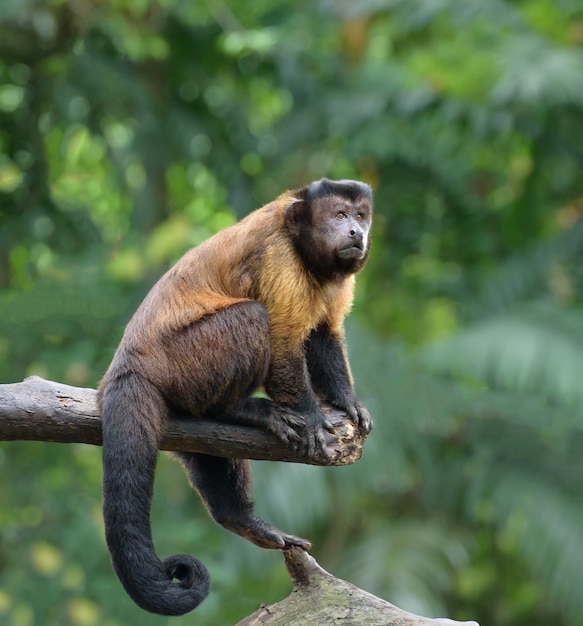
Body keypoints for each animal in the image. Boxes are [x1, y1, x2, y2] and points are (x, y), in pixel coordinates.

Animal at [96, 177, 374, 616]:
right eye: (340, 215)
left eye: (361, 216)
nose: (355, 233)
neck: (303, 247)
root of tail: (127, 365)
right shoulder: (279, 257)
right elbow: (283, 339)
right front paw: (313, 420)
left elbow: (322, 334)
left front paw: (347, 401)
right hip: (184, 361)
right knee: (253, 317)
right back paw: (240, 411)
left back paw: (238, 517)